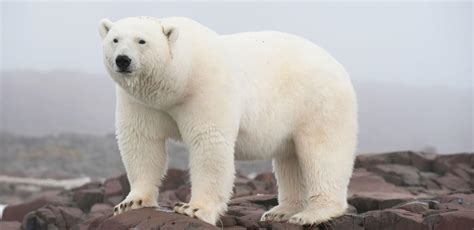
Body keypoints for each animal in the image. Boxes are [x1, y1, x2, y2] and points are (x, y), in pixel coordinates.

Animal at [99, 17, 356, 226]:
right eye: (115, 39)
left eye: (141, 41)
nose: (123, 60)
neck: (179, 81)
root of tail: (340, 68)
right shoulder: (141, 103)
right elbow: (141, 141)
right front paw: (131, 202)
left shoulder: (204, 88)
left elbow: (208, 143)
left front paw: (193, 209)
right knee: (290, 161)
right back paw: (280, 211)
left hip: (319, 104)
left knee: (322, 154)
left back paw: (312, 213)